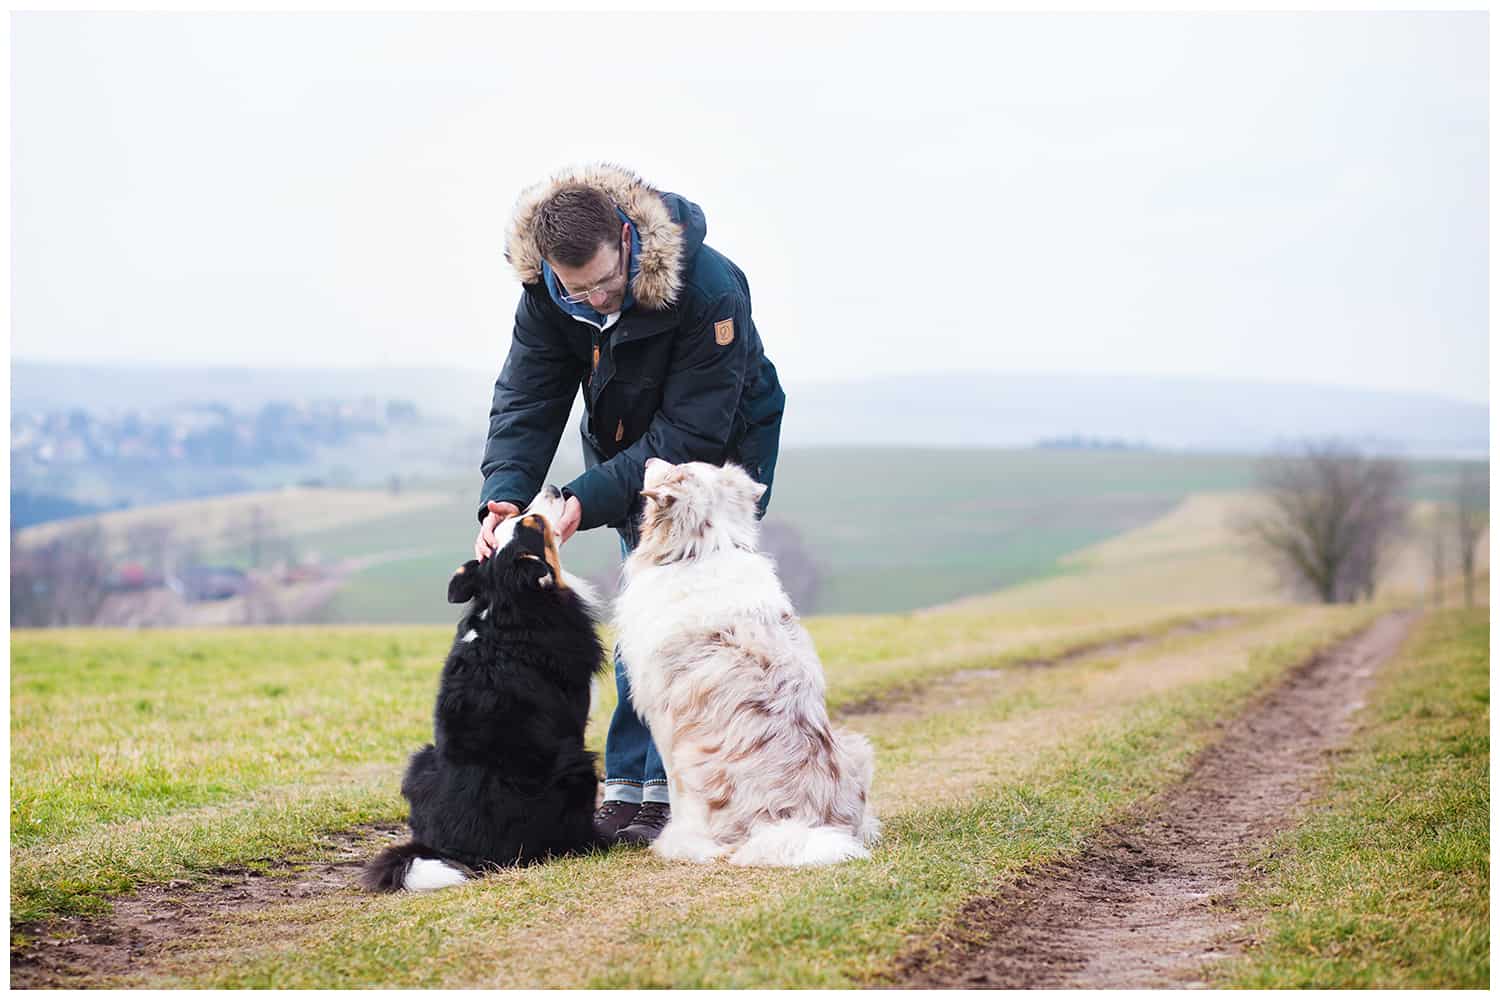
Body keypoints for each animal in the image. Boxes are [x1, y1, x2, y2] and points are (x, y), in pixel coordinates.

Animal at [360, 485, 606, 893]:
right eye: (533, 522)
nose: (556, 489)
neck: (510, 602)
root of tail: (454, 850)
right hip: (577, 766)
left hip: (421, 759)